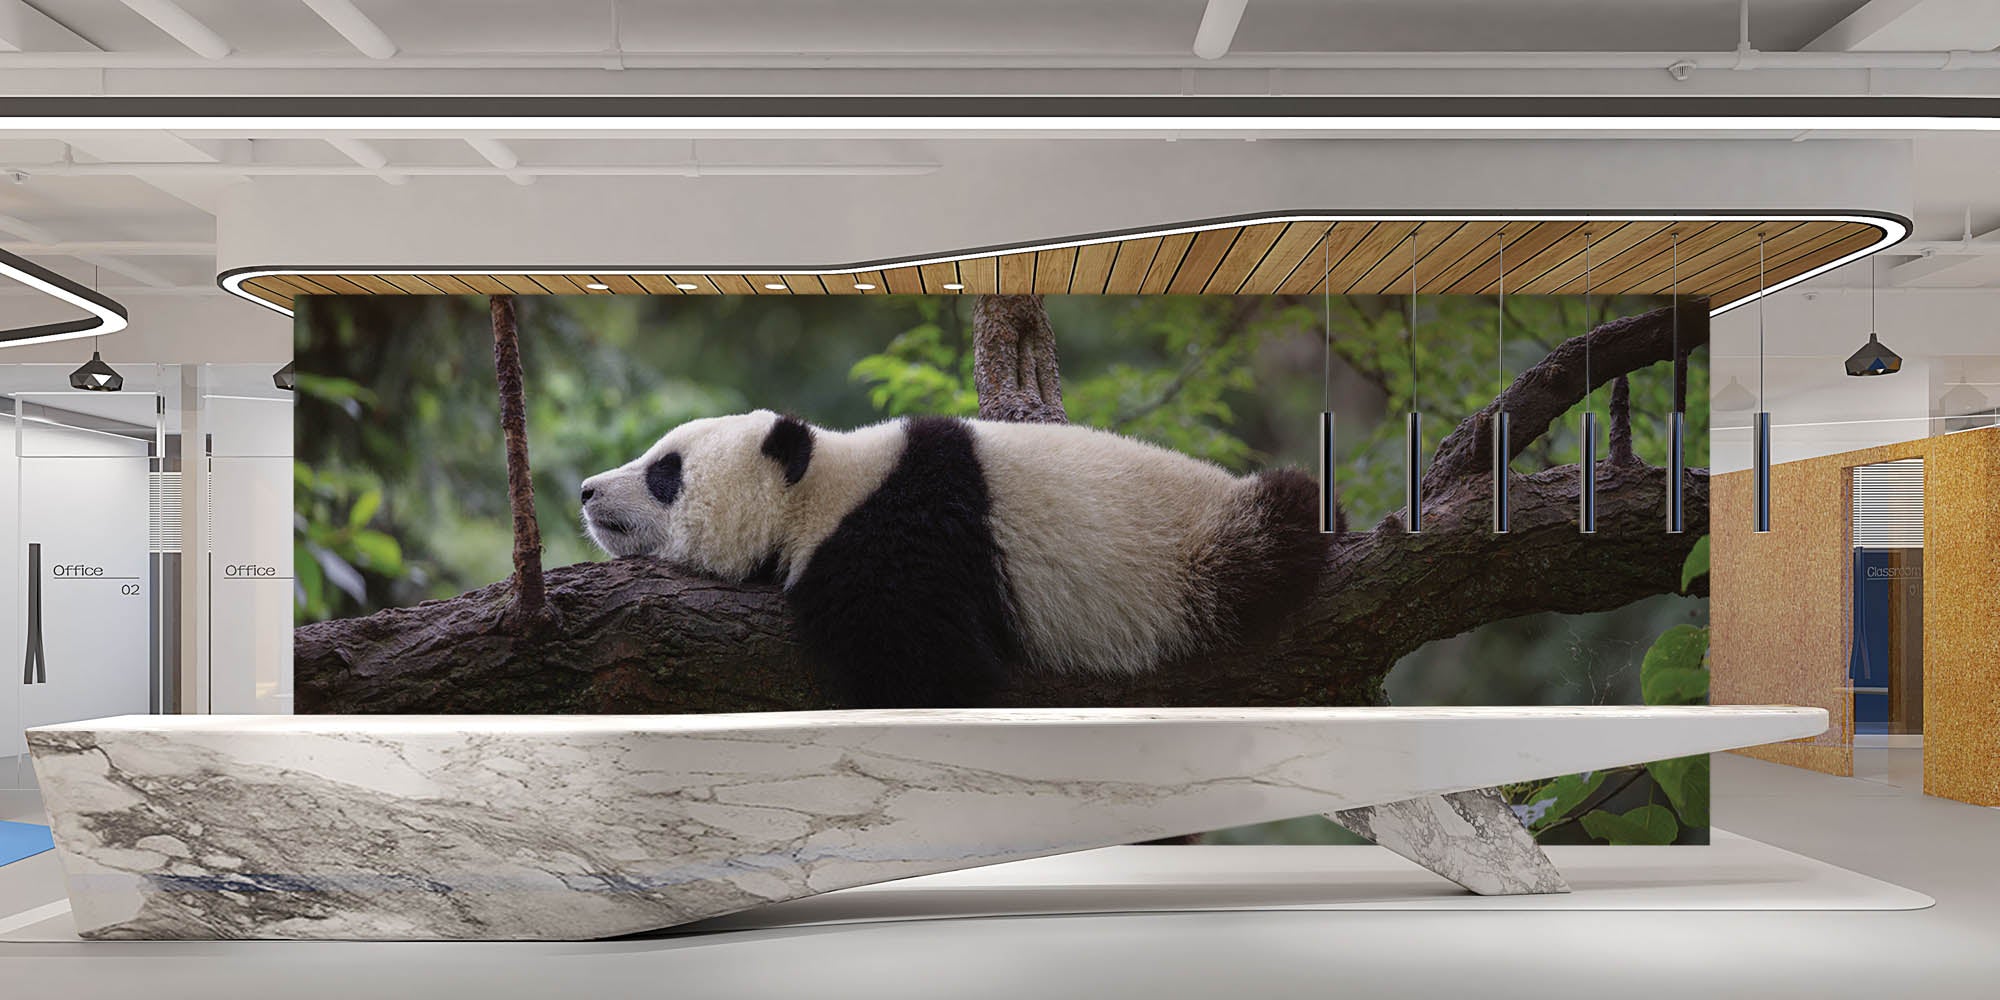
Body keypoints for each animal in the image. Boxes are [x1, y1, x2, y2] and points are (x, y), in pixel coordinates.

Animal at [579, 410, 1336, 708]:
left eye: (665, 473)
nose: (586, 490)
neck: (825, 487)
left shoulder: (903, 542)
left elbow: (929, 668)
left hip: (1203, 553)